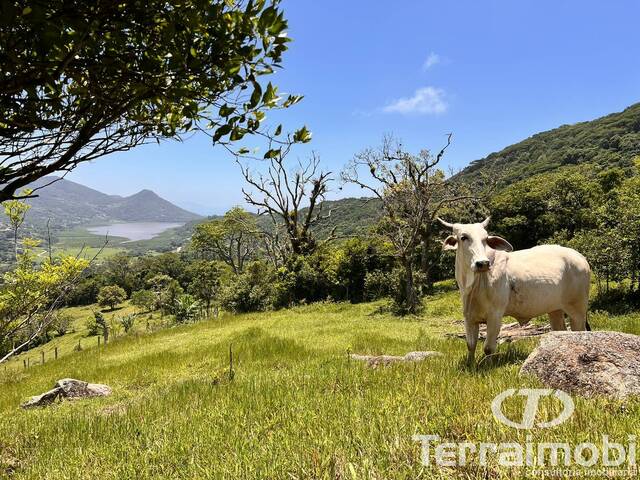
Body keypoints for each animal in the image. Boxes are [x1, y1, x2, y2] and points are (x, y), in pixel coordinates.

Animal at [438, 216, 592, 362]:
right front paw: (471, 365)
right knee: (560, 330)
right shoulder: (469, 316)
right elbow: (470, 345)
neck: (474, 286)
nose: (483, 263)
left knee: (579, 331)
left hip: (578, 309)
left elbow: (488, 348)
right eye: (463, 237)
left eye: (485, 239)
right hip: (554, 309)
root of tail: (580, 257)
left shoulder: (495, 315)